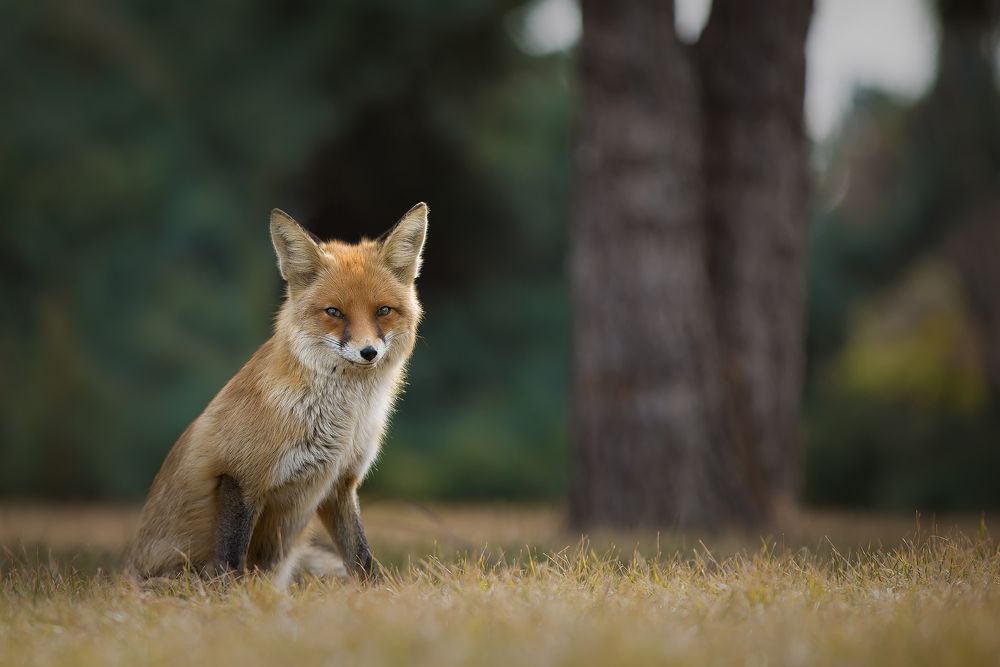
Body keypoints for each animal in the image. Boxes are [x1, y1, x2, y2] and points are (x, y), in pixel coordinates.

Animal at [125, 203, 428, 583]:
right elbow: (230, 563)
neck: (343, 424)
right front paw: (233, 598)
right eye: (334, 312)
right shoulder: (239, 475)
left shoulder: (339, 484)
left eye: (383, 311)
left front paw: (377, 592)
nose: (368, 352)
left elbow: (362, 558)